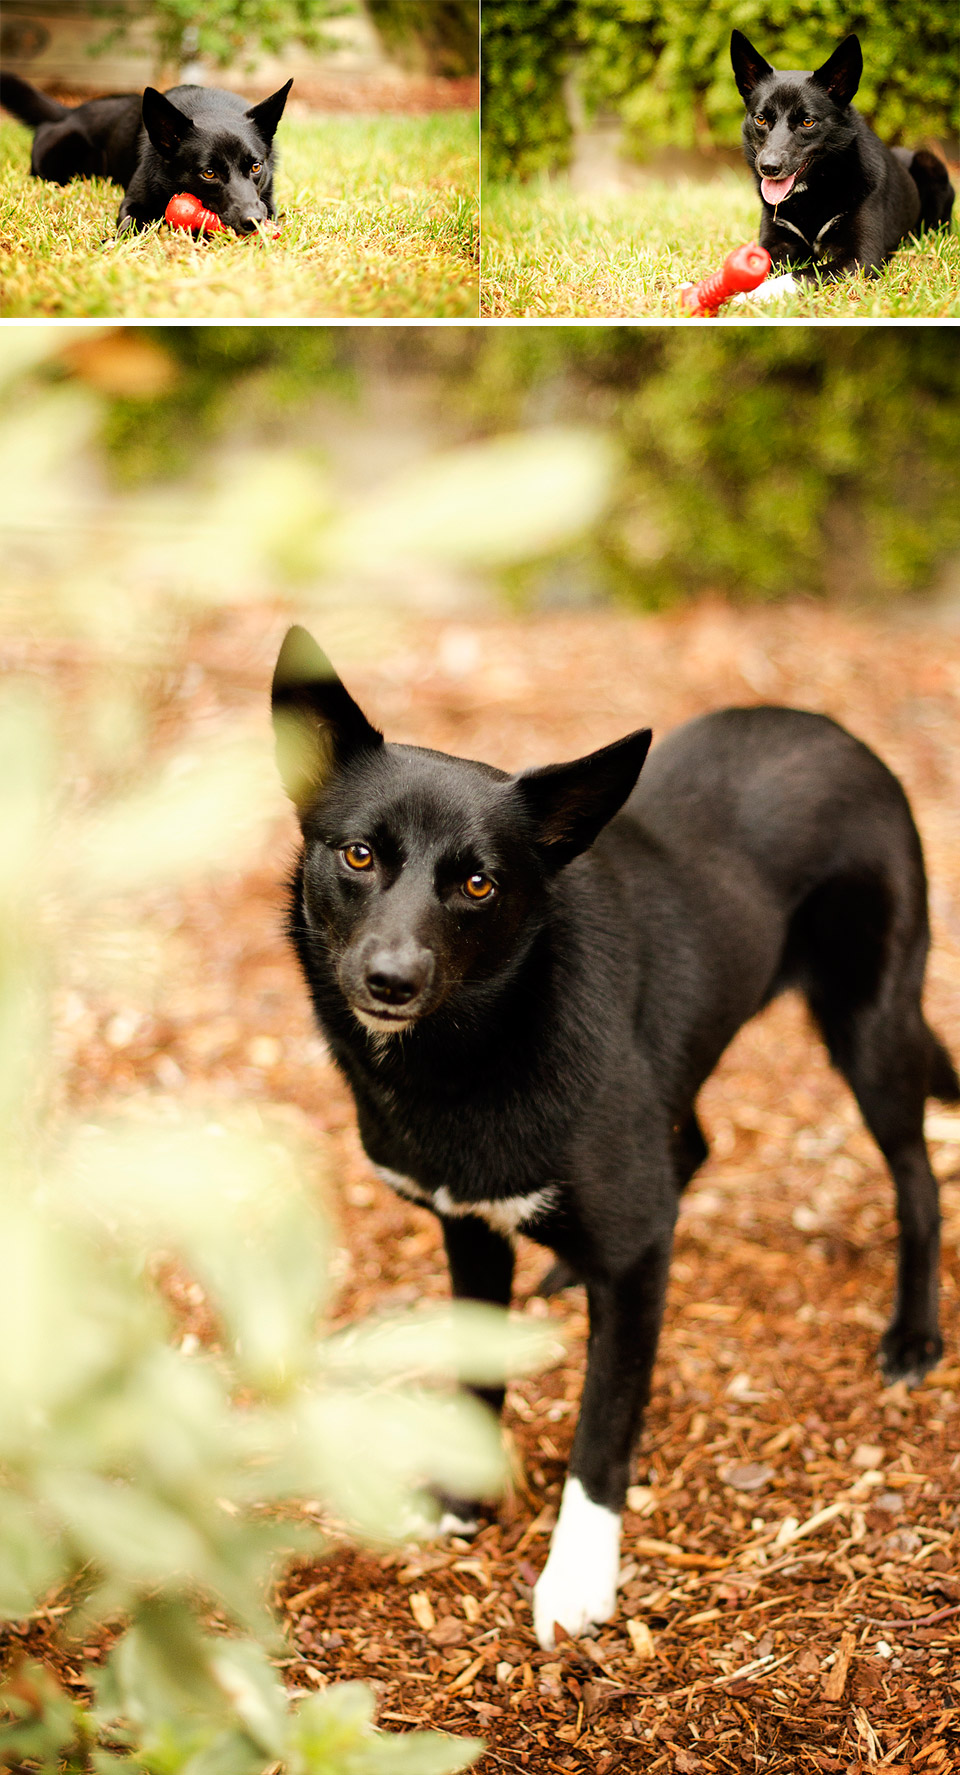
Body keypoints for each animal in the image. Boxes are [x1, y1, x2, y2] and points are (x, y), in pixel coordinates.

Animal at [0, 70, 292, 230]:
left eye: (255, 167)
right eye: (209, 173)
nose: (253, 220)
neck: (210, 108)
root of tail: (69, 111)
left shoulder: (267, 201)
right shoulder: (132, 204)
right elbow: (130, 226)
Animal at [271, 628, 958, 1647]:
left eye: (478, 882)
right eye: (357, 854)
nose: (391, 978)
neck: (476, 1050)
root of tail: (833, 729)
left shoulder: (637, 1258)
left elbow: (603, 1427)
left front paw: (578, 1577)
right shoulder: (467, 1228)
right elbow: (478, 1373)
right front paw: (466, 1497)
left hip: (871, 1028)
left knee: (917, 1178)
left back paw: (913, 1334)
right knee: (695, 1144)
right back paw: (563, 1263)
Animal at [734, 29, 951, 291]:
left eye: (808, 122)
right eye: (761, 119)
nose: (768, 167)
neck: (815, 191)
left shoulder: (859, 259)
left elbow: (796, 276)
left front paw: (751, 295)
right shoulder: (775, 243)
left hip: (929, 162)